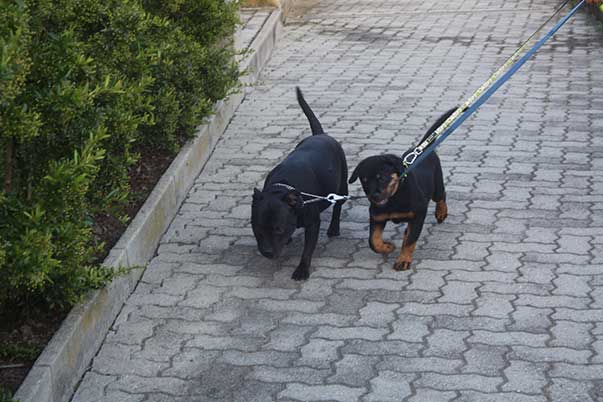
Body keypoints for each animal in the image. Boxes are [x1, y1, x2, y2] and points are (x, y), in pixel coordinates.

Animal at [251, 87, 348, 281]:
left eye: (278, 229)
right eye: (257, 229)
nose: (266, 252)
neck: (282, 188)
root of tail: (320, 134)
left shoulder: (313, 225)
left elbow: (307, 250)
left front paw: (302, 270)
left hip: (342, 187)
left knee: (337, 206)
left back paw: (334, 228)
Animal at [349, 108, 457, 271]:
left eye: (382, 177)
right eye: (365, 180)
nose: (374, 196)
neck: (394, 198)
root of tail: (421, 148)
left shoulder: (419, 213)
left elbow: (411, 240)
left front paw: (403, 260)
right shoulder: (377, 217)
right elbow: (373, 241)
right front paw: (387, 247)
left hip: (436, 187)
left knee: (441, 195)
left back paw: (441, 213)